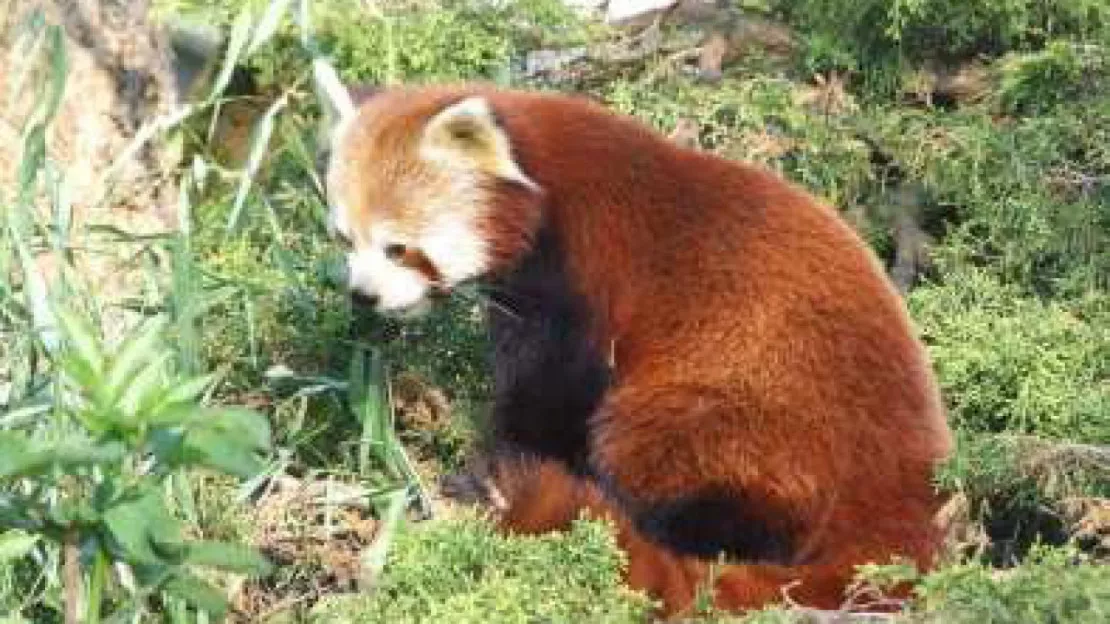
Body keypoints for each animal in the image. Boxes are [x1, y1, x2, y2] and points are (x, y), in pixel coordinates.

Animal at [315, 78, 954, 617]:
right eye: (346, 239)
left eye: (398, 248)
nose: (362, 296)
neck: (548, 190)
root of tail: (906, 495)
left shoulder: (582, 275)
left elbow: (551, 393)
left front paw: (506, 454)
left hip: (744, 421)